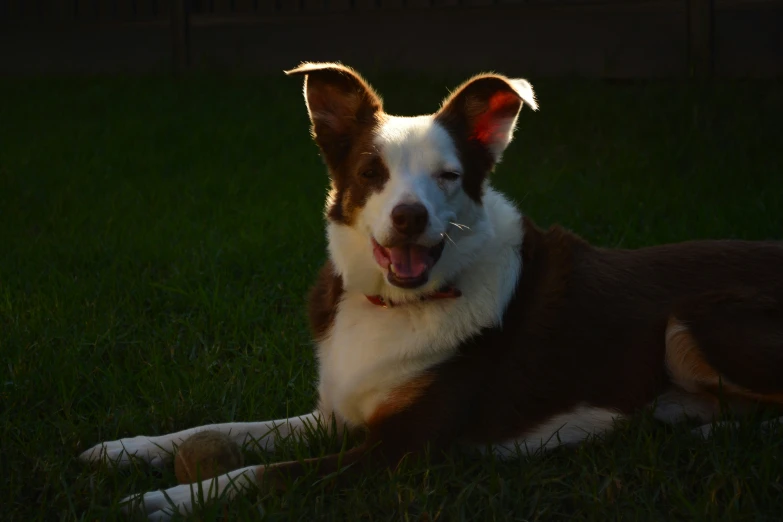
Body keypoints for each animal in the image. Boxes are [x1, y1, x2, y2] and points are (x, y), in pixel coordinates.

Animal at [79, 61, 783, 516]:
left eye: (447, 176)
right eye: (371, 171)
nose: (409, 217)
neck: (397, 305)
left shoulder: (399, 453)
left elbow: (261, 474)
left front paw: (169, 497)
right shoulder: (335, 415)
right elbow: (224, 429)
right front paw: (124, 449)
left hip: (689, 322)